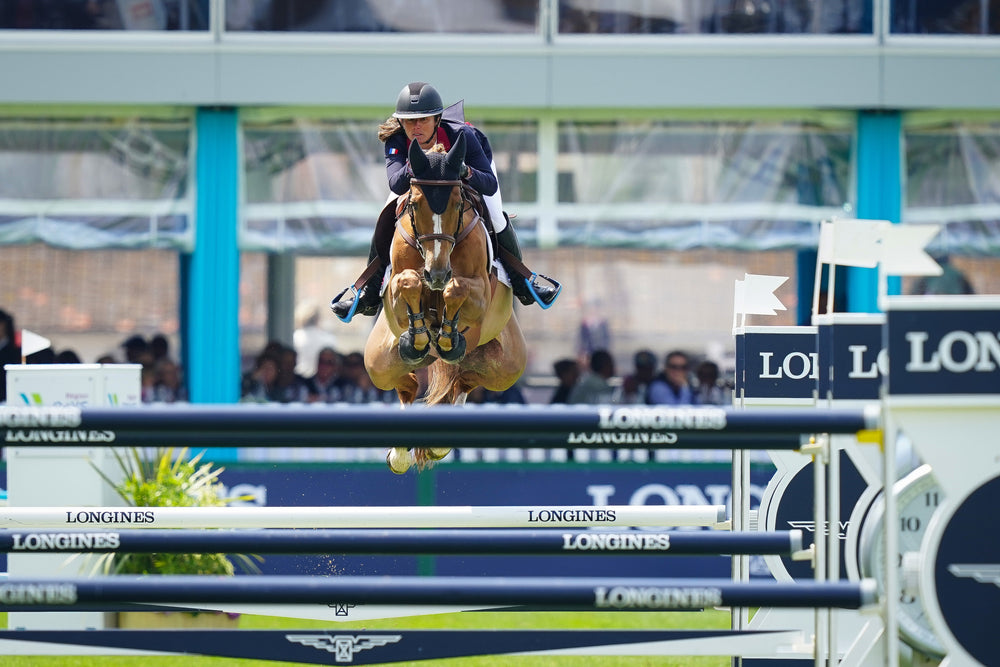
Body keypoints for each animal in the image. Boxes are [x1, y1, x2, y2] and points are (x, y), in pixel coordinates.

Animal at [363, 133, 527, 474]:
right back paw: (400, 452)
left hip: (506, 368)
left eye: (457, 203)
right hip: (378, 362)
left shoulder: (479, 292)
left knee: (464, 381)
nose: (436, 273)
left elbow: (457, 289)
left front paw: (447, 333)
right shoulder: (397, 292)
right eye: (414, 203)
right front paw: (420, 335)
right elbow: (408, 282)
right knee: (406, 386)